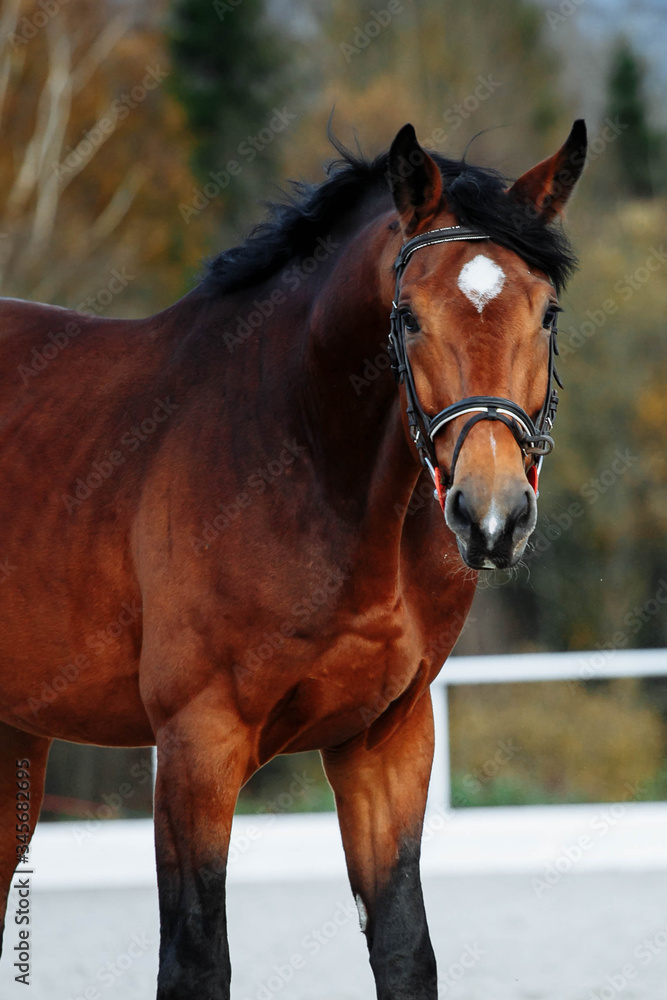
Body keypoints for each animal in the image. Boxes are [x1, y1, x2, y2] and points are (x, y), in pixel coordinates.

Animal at [0, 119, 586, 998]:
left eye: (545, 313)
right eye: (407, 317)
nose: (491, 515)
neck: (302, 454)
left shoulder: (386, 742)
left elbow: (404, 951)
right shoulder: (197, 746)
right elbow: (197, 962)